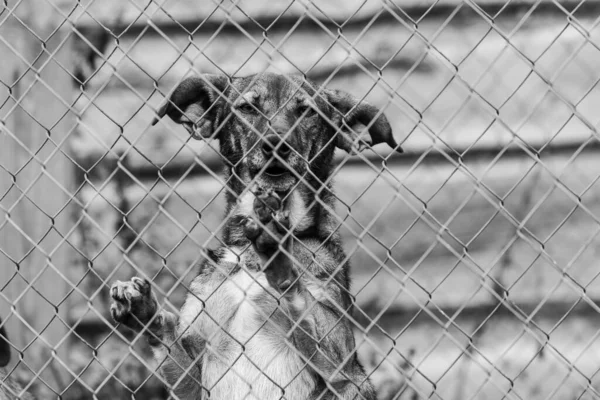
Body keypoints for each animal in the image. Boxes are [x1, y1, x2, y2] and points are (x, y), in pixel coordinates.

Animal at [110, 72, 400, 400]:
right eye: (247, 108)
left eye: (307, 111)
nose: (276, 145)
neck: (249, 257)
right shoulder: (193, 375)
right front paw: (145, 313)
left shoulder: (348, 376)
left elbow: (301, 306)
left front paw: (280, 261)